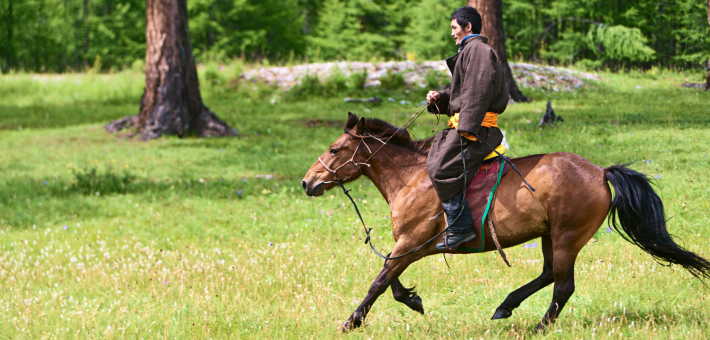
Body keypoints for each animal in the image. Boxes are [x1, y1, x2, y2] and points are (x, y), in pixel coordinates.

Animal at [300, 112, 710, 332]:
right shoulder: (409, 246)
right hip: (550, 236)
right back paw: (506, 306)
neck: (412, 178)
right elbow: (391, 278)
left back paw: (538, 327)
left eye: (335, 150)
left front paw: (351, 321)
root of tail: (599, 172)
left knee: (563, 286)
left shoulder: (413, 243)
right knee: (549, 275)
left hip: (567, 237)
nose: (307, 182)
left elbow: (380, 281)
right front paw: (412, 300)